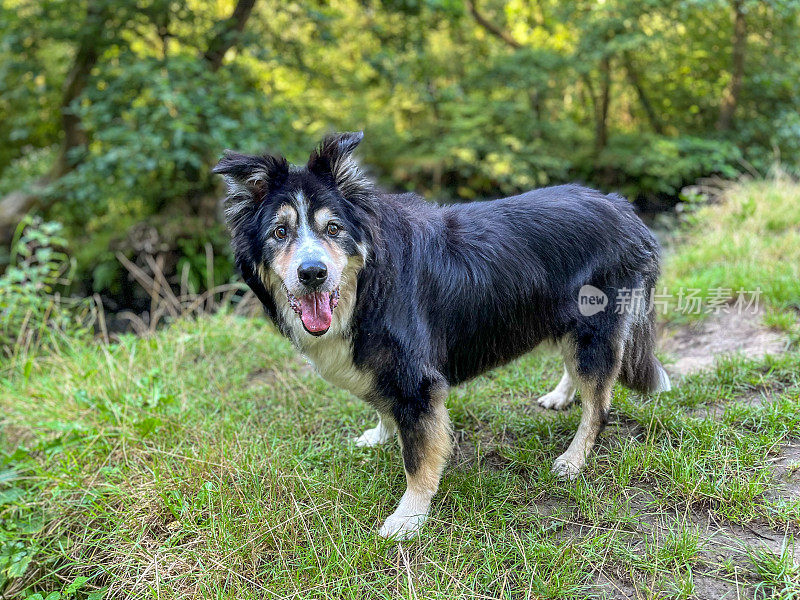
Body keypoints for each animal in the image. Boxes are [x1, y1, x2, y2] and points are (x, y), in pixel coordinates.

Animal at [212, 131, 668, 540]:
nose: (313, 274)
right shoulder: (386, 367)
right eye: (280, 232)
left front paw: (409, 518)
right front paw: (380, 435)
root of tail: (624, 207)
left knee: (599, 404)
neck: (368, 285)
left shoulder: (417, 381)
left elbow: (417, 457)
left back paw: (573, 459)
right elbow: (384, 406)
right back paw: (561, 395)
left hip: (595, 327)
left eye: (334, 228)